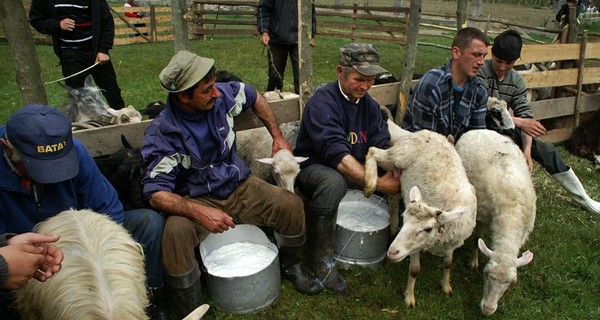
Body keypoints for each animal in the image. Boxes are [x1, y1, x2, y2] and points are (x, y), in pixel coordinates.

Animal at [364, 129, 476, 306]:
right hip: (398, 156)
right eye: (405, 221)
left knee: (393, 197)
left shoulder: (452, 243)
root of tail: (424, 132)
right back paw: (370, 183)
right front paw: (409, 298)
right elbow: (415, 270)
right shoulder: (414, 247)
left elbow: (448, 264)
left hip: (397, 169)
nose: (392, 252)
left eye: (428, 229)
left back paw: (393, 228)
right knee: (373, 150)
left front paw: (446, 287)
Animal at [458, 129, 536, 314]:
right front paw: (473, 262)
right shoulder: (481, 215)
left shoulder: (524, 232)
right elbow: (476, 239)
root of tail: (480, 129)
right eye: (486, 273)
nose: (487, 309)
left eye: (512, 282)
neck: (511, 216)